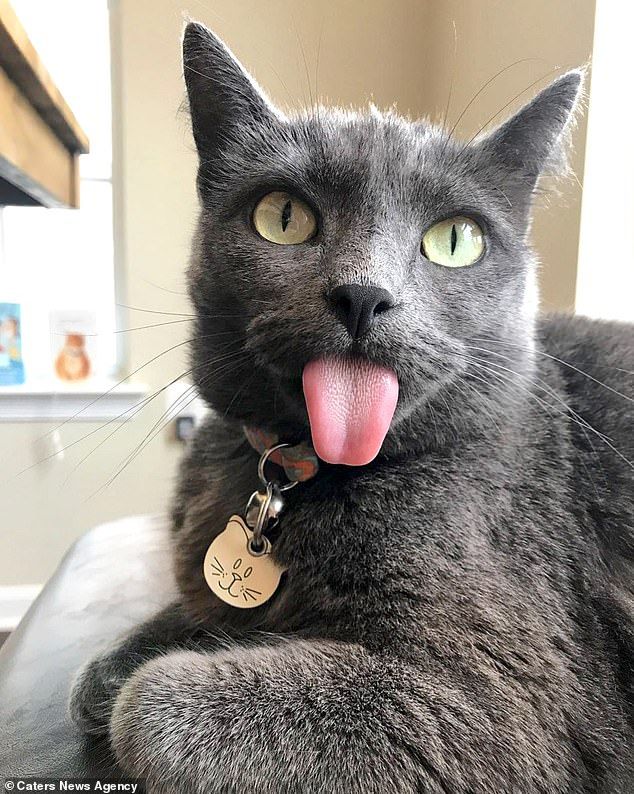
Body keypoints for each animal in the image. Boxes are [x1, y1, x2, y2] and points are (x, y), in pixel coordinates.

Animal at [69, 21, 632, 788]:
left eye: (454, 239)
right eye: (283, 217)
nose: (364, 293)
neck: (301, 470)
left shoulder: (499, 699)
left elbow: (150, 705)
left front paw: (136, 686)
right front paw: (113, 666)